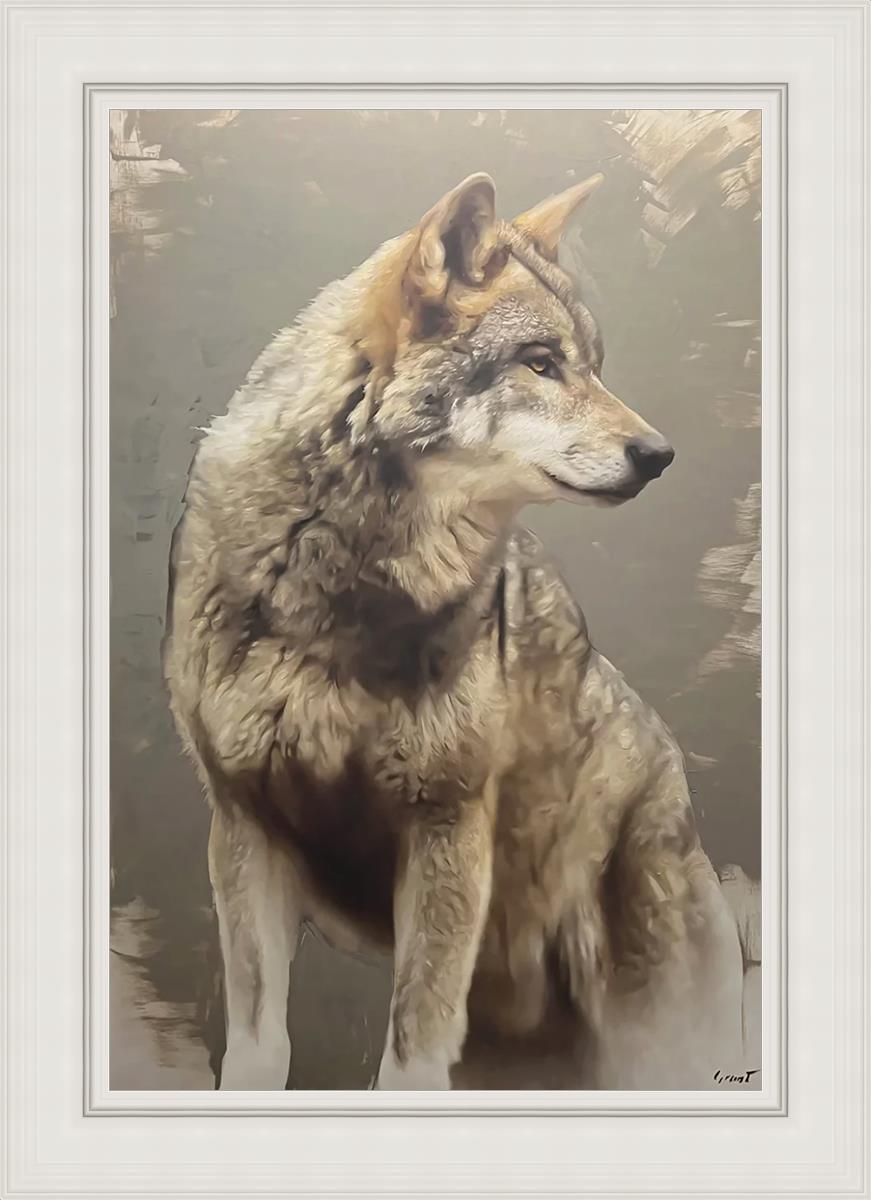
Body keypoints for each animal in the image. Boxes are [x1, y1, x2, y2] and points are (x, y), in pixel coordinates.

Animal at [163, 172, 750, 1091]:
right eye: (540, 363)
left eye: (592, 365)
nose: (659, 455)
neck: (338, 588)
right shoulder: (245, 826)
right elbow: (261, 1048)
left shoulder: (446, 829)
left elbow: (409, 1057)